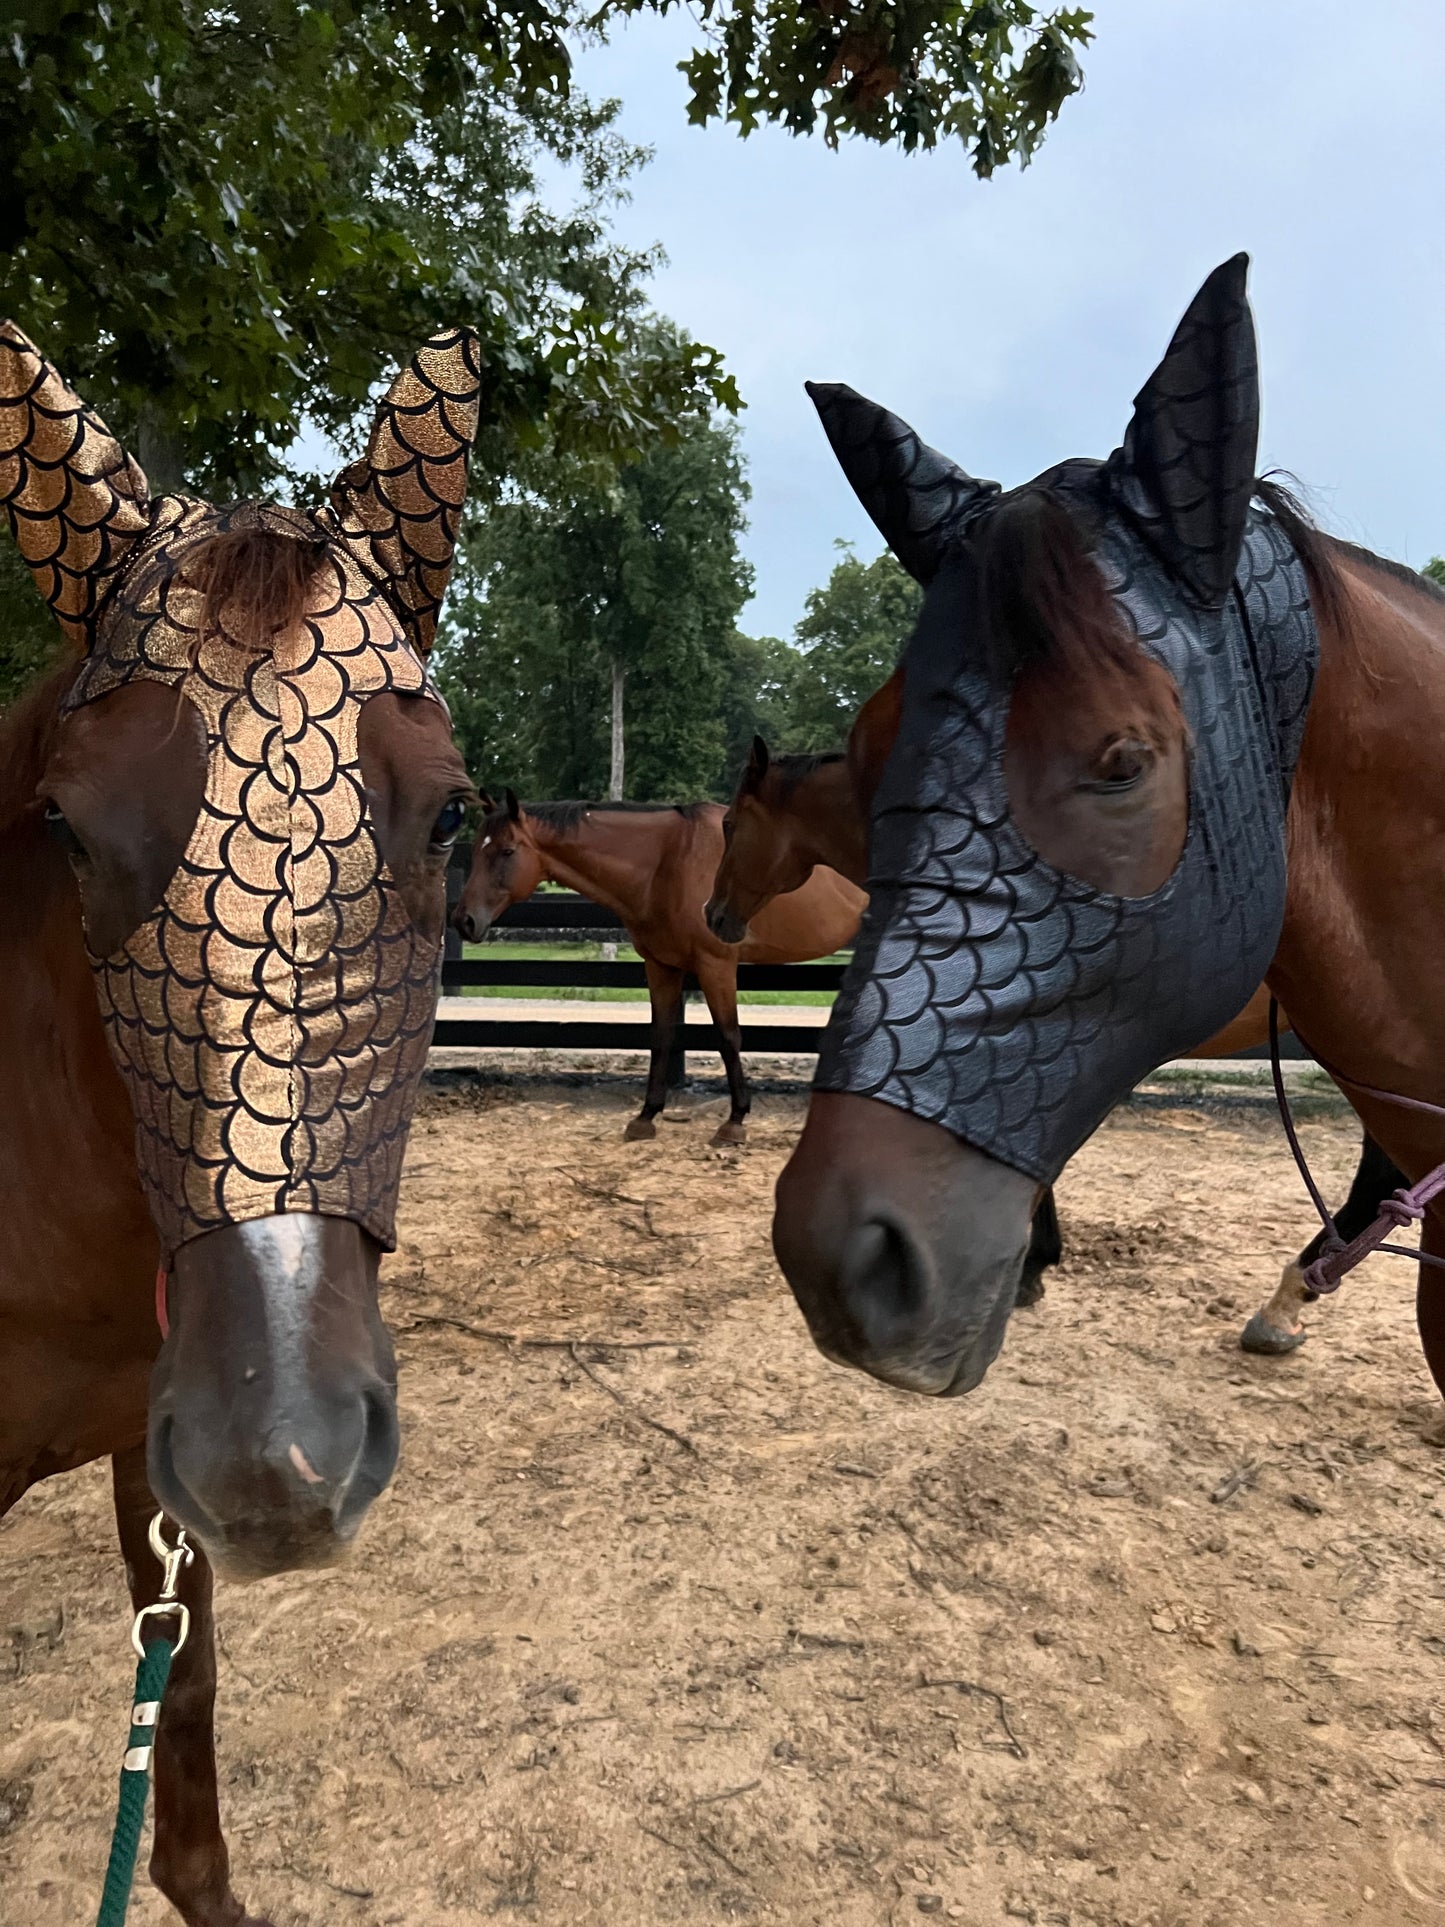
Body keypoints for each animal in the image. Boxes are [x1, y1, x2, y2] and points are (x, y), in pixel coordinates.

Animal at [452, 791, 865, 1146]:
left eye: (507, 850)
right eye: (474, 851)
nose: (464, 921)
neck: (671, 860)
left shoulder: (716, 965)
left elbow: (728, 1037)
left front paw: (735, 1121)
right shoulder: (661, 966)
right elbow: (661, 1036)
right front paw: (646, 1116)